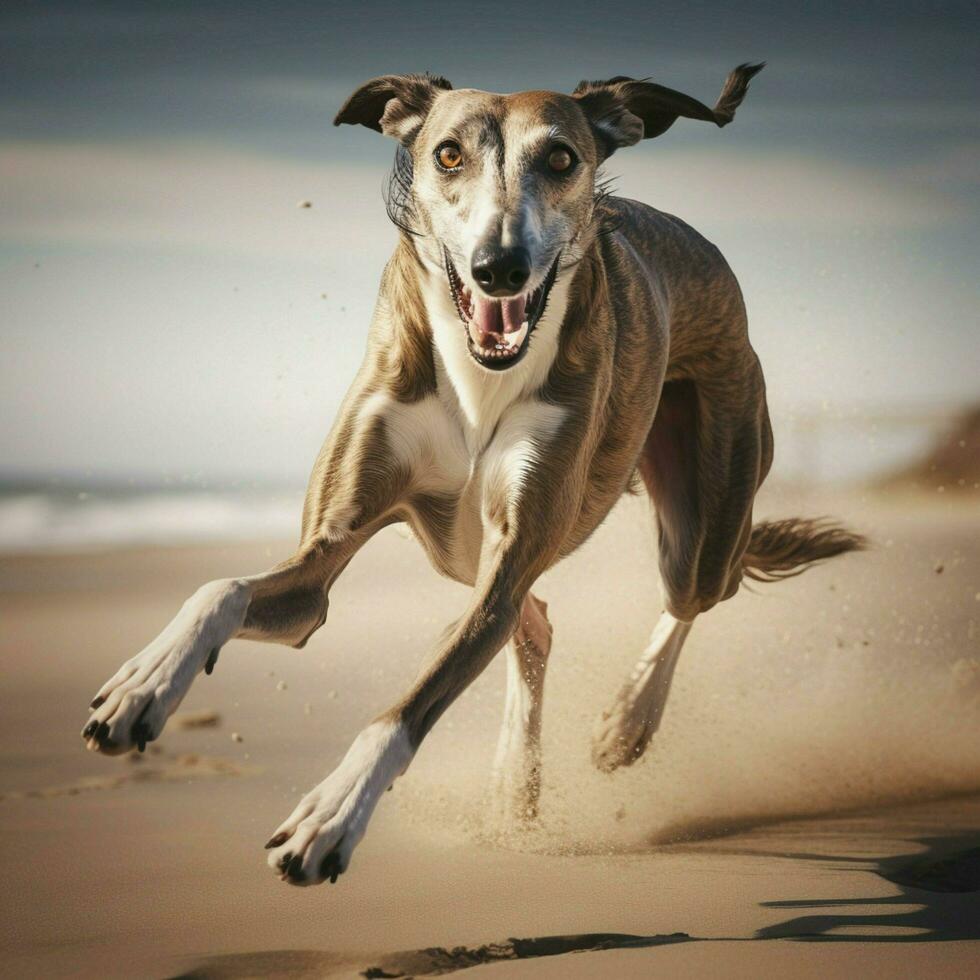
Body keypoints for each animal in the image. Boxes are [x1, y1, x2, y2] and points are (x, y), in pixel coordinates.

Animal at [84, 63, 864, 888]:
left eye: (560, 158)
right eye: (448, 154)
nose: (499, 268)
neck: (480, 375)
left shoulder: (510, 552)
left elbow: (409, 706)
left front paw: (333, 815)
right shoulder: (326, 562)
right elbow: (222, 588)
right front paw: (141, 686)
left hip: (706, 500)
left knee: (694, 589)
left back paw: (626, 722)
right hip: (474, 555)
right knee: (538, 622)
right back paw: (516, 783)